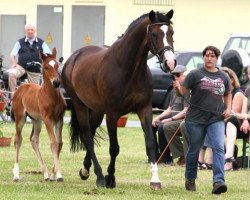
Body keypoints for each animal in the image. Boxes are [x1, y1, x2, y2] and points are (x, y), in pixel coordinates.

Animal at [11, 47, 66, 182]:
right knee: (18, 139)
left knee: (34, 139)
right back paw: (16, 175)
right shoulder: (47, 119)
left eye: (57, 65)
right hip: (20, 118)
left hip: (36, 120)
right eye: (46, 67)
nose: (56, 82)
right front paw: (59, 175)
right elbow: (53, 143)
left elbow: (59, 143)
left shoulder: (59, 119)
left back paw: (45, 174)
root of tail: (21, 86)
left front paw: (53, 173)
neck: (50, 96)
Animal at [61, 9, 176, 190]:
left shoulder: (144, 109)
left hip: (97, 110)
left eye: (171, 32)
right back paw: (99, 176)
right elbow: (114, 148)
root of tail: (73, 58)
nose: (170, 62)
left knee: (91, 132)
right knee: (88, 138)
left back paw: (85, 170)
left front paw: (155, 180)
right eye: (154, 34)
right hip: (80, 106)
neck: (129, 69)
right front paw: (110, 178)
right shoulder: (112, 114)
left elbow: (151, 143)